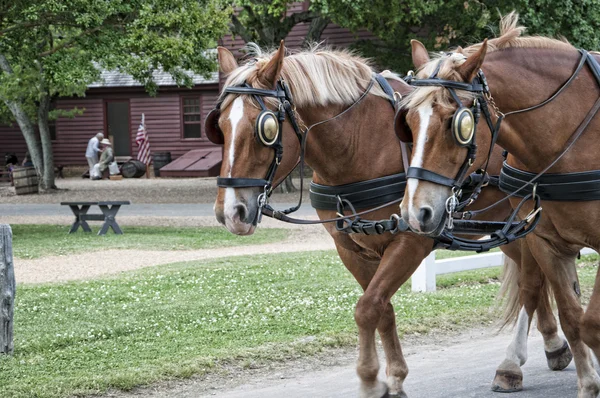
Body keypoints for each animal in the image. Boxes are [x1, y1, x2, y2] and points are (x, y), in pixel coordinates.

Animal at [212, 42, 572, 396]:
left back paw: (515, 364)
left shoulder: (411, 240)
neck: (359, 142)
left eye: (265, 129)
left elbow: (368, 307)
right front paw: (395, 377)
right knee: (534, 280)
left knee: (531, 283)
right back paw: (552, 345)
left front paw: (372, 379)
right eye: (221, 126)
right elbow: (381, 309)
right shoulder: (351, 248)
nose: (229, 212)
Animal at [398, 12, 600, 398]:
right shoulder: (546, 242)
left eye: (456, 123)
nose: (417, 213)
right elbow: (573, 318)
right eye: (408, 122)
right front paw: (589, 383)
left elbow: (592, 321)